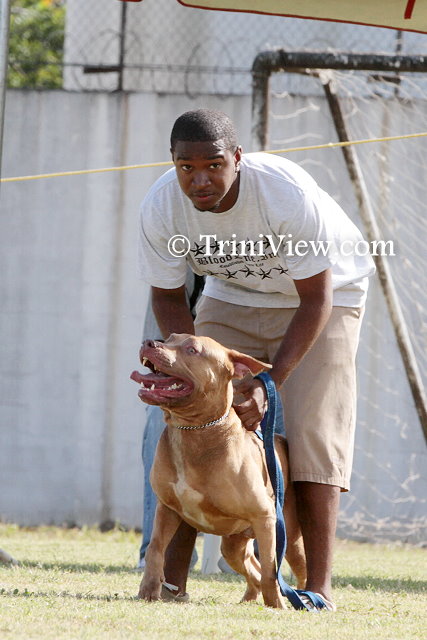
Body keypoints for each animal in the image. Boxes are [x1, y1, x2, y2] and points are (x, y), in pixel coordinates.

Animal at [130, 333, 306, 608]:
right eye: (169, 338)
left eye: (192, 349)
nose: (150, 343)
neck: (194, 431)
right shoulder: (167, 509)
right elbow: (155, 548)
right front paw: (148, 590)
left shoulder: (265, 517)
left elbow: (271, 568)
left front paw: (277, 606)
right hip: (234, 546)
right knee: (252, 569)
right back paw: (249, 598)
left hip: (289, 537)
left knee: (293, 571)